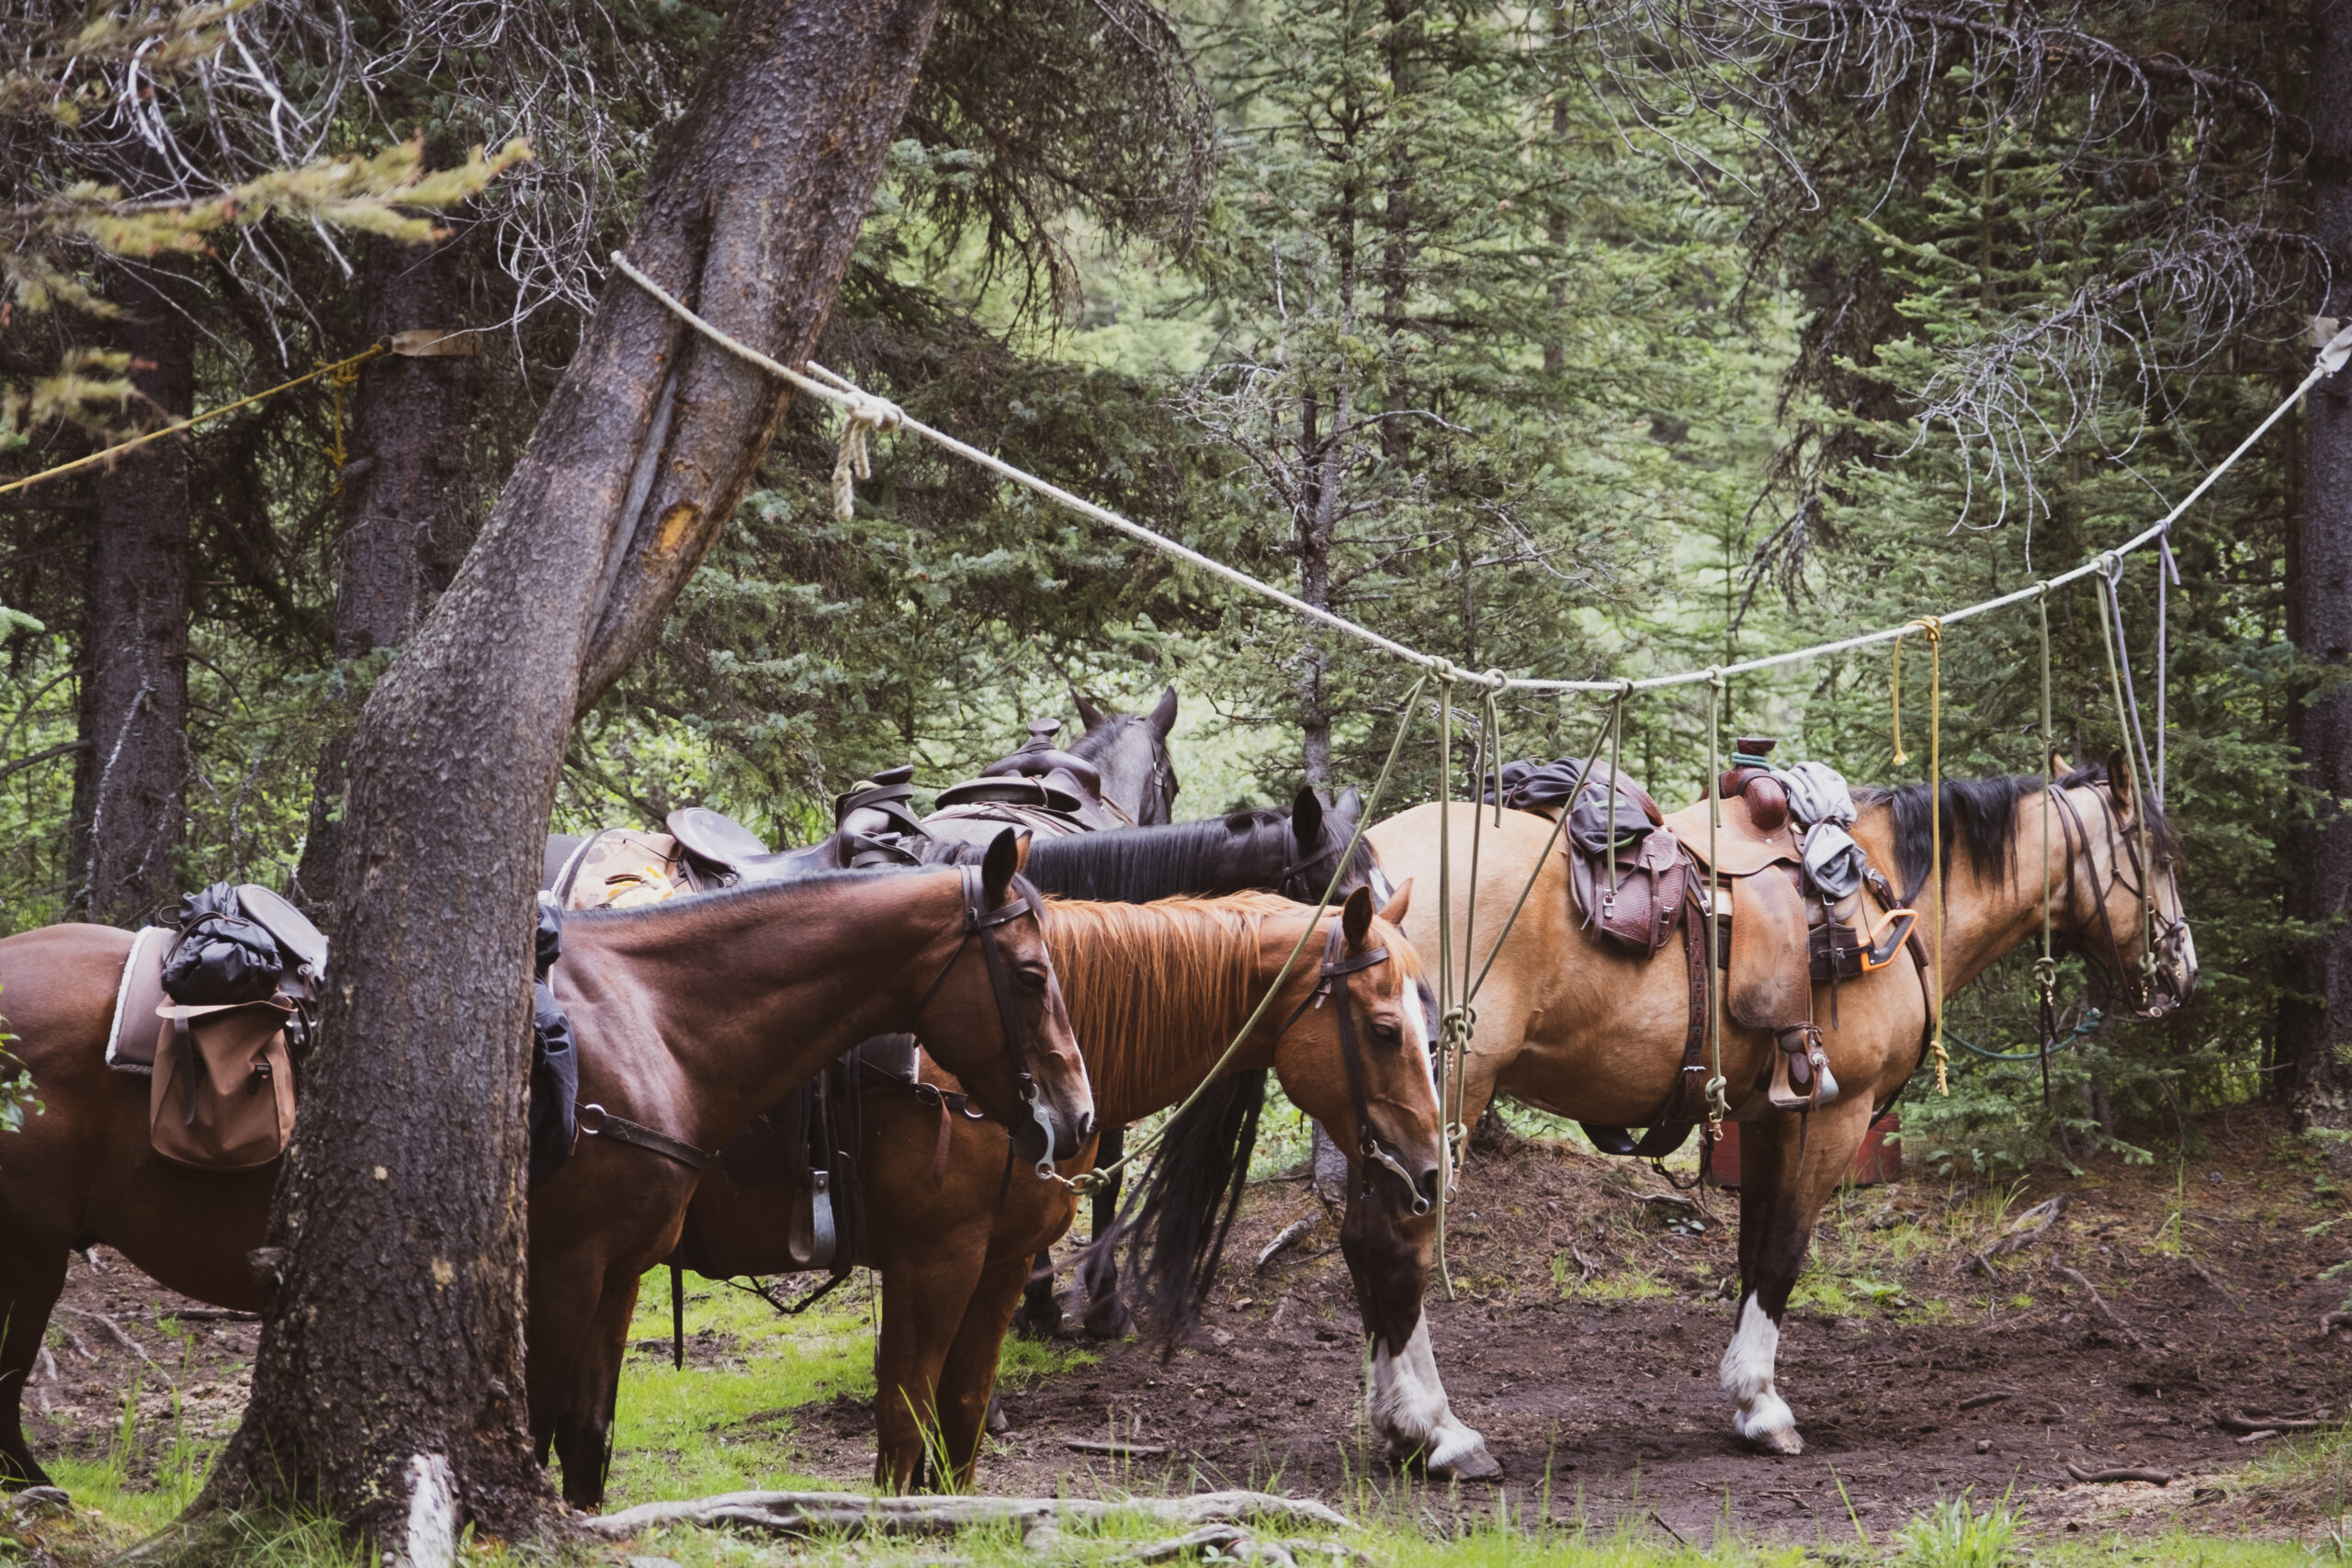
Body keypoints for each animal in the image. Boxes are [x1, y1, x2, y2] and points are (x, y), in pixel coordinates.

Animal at [0, 831, 1091, 1504]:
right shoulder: (563, 1269)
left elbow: (592, 1436)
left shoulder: (620, 1275)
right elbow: (552, 1418)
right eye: (1031, 974)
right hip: (30, 1249)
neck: (655, 1022)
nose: (1073, 1117)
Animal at [668, 888, 1486, 1495]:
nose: (1431, 1169)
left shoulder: (998, 1261)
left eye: (1431, 1028)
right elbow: (904, 1418)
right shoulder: (930, 1260)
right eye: (1383, 1030)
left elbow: (960, 1419)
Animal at [1374, 761, 2191, 1457]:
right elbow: (1784, 1254)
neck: (1889, 896)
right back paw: (1436, 1428)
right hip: (1442, 1099)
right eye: (2156, 852)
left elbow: (1752, 1250)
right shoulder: (1834, 1115)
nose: (2183, 966)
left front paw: (1745, 1397)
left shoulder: (1767, 1119)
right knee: (1395, 1244)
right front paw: (1764, 1407)